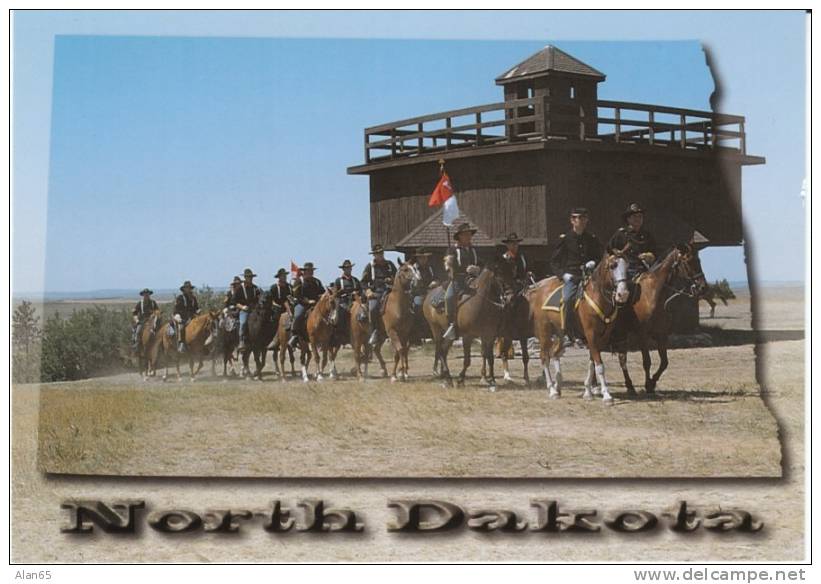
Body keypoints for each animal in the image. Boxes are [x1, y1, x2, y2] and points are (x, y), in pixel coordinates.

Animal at [620, 242, 708, 396]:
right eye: (688, 261)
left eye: (699, 260)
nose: (703, 287)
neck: (653, 295)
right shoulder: (642, 335)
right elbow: (647, 361)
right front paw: (648, 384)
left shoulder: (661, 334)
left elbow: (664, 362)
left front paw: (652, 383)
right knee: (621, 359)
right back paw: (628, 386)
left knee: (621, 358)